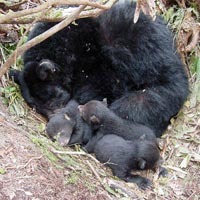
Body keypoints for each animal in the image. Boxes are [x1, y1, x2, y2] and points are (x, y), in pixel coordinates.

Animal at [10, 0, 189, 139]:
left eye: (53, 98)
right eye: (36, 106)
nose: (54, 120)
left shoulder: (98, 61)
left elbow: (99, 89)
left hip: (158, 74)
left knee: (139, 103)